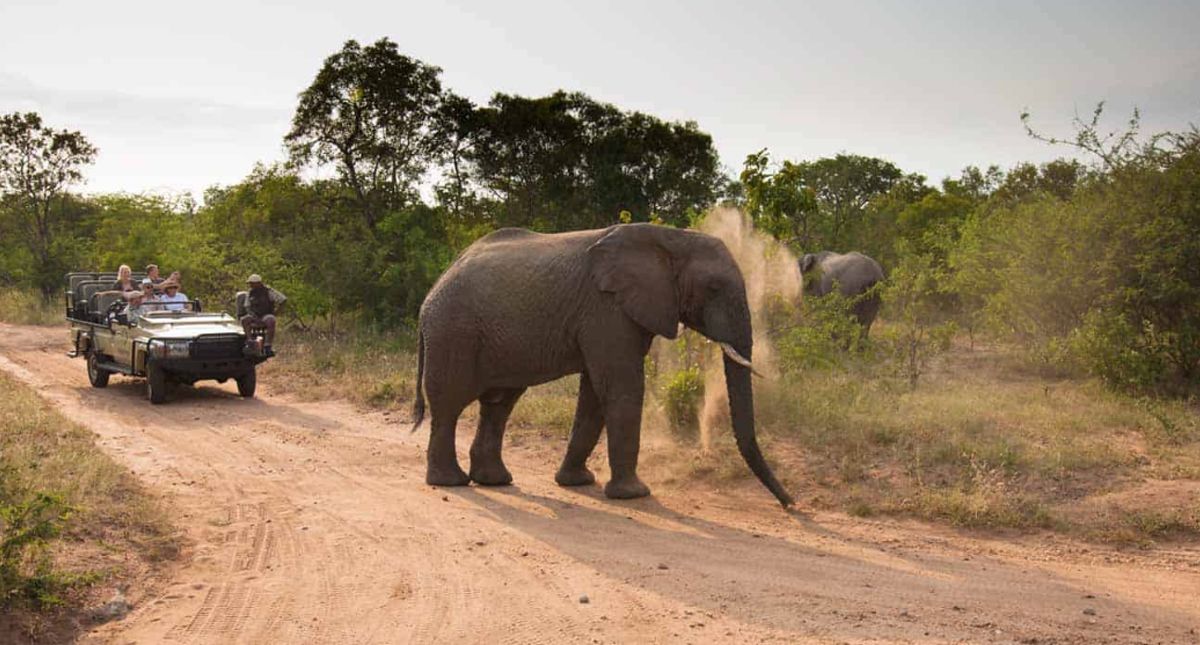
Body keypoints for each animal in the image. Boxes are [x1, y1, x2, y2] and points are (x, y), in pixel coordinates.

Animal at [412, 222, 796, 503]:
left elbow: (595, 395)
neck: (672, 237)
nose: (790, 503)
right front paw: (634, 495)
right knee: (449, 404)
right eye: (714, 288)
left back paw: (495, 481)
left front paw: (577, 483)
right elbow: (621, 386)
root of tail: (431, 292)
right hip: (453, 332)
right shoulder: (607, 308)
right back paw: (451, 483)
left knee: (499, 404)